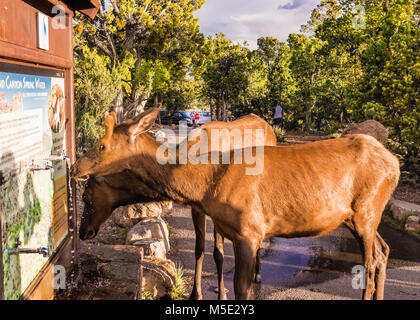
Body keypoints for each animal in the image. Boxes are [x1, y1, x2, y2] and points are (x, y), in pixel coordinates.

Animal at [72, 107, 400, 300]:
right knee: (383, 251)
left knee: (370, 263)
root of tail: (395, 163)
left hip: (367, 211)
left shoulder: (248, 231)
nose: (75, 168)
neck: (203, 185)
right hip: (358, 216)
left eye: (101, 146)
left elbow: (241, 288)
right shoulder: (230, 227)